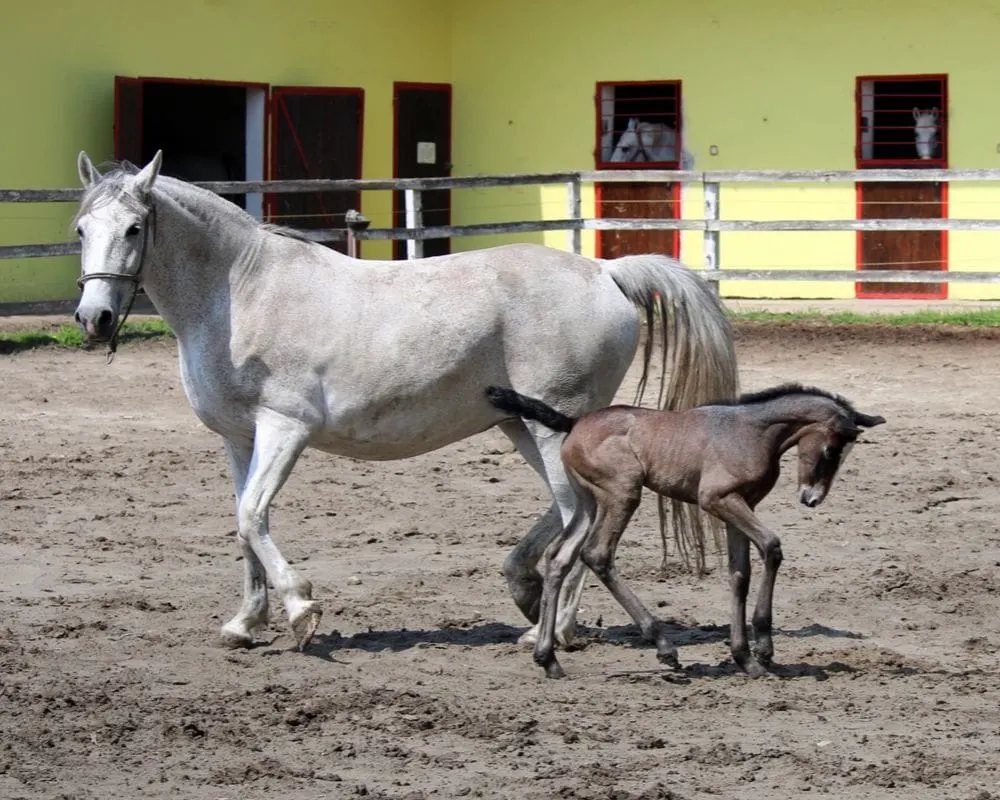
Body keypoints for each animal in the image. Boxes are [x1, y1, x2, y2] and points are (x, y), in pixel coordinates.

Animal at [74, 150, 740, 656]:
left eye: (134, 229)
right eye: (81, 230)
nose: (93, 318)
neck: (241, 290)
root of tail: (606, 272)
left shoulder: (285, 428)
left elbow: (253, 515)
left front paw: (300, 610)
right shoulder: (239, 439)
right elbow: (243, 525)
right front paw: (244, 624)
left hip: (552, 428)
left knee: (580, 515)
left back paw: (550, 632)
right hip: (522, 425)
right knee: (571, 512)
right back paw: (527, 594)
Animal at [484, 384, 884, 680]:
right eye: (830, 451)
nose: (811, 498)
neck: (751, 432)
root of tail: (575, 422)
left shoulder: (740, 506)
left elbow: (739, 573)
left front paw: (745, 658)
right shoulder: (717, 500)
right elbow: (771, 546)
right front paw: (763, 647)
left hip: (588, 502)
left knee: (560, 558)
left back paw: (549, 659)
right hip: (622, 493)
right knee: (597, 554)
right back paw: (664, 646)